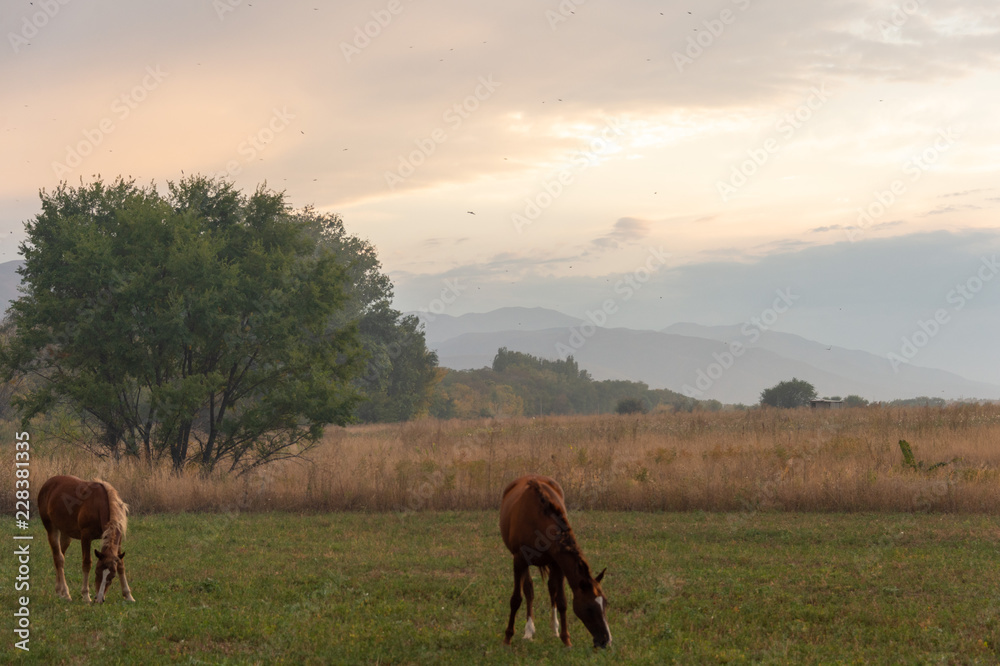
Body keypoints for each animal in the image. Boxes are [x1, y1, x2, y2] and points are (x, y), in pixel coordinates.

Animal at [37, 475, 135, 603]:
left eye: (112, 576)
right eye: (97, 572)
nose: (99, 599)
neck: (100, 504)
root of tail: (47, 484)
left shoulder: (118, 541)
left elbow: (121, 565)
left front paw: (128, 595)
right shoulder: (86, 536)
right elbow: (87, 563)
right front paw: (85, 595)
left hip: (66, 534)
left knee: (59, 556)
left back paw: (59, 592)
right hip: (51, 528)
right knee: (59, 558)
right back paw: (66, 593)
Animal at [499, 474, 611, 648]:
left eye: (605, 603)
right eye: (589, 608)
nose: (606, 640)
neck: (538, 520)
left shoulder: (557, 562)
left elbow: (562, 601)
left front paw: (566, 639)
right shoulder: (519, 560)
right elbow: (516, 599)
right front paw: (507, 638)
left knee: (551, 588)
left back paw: (555, 629)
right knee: (529, 590)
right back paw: (529, 631)